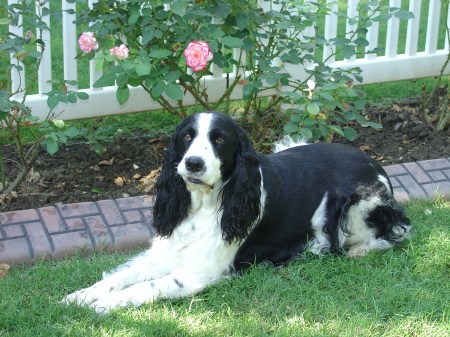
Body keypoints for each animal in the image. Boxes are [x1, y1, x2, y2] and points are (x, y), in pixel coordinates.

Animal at [63, 111, 412, 312]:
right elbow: (121, 276)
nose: (193, 163)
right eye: (187, 136)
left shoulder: (200, 272)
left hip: (359, 202)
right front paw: (81, 295)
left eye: (219, 139)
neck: (203, 206)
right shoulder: (164, 253)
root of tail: (376, 163)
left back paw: (351, 249)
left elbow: (147, 285)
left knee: (394, 231)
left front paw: (106, 304)